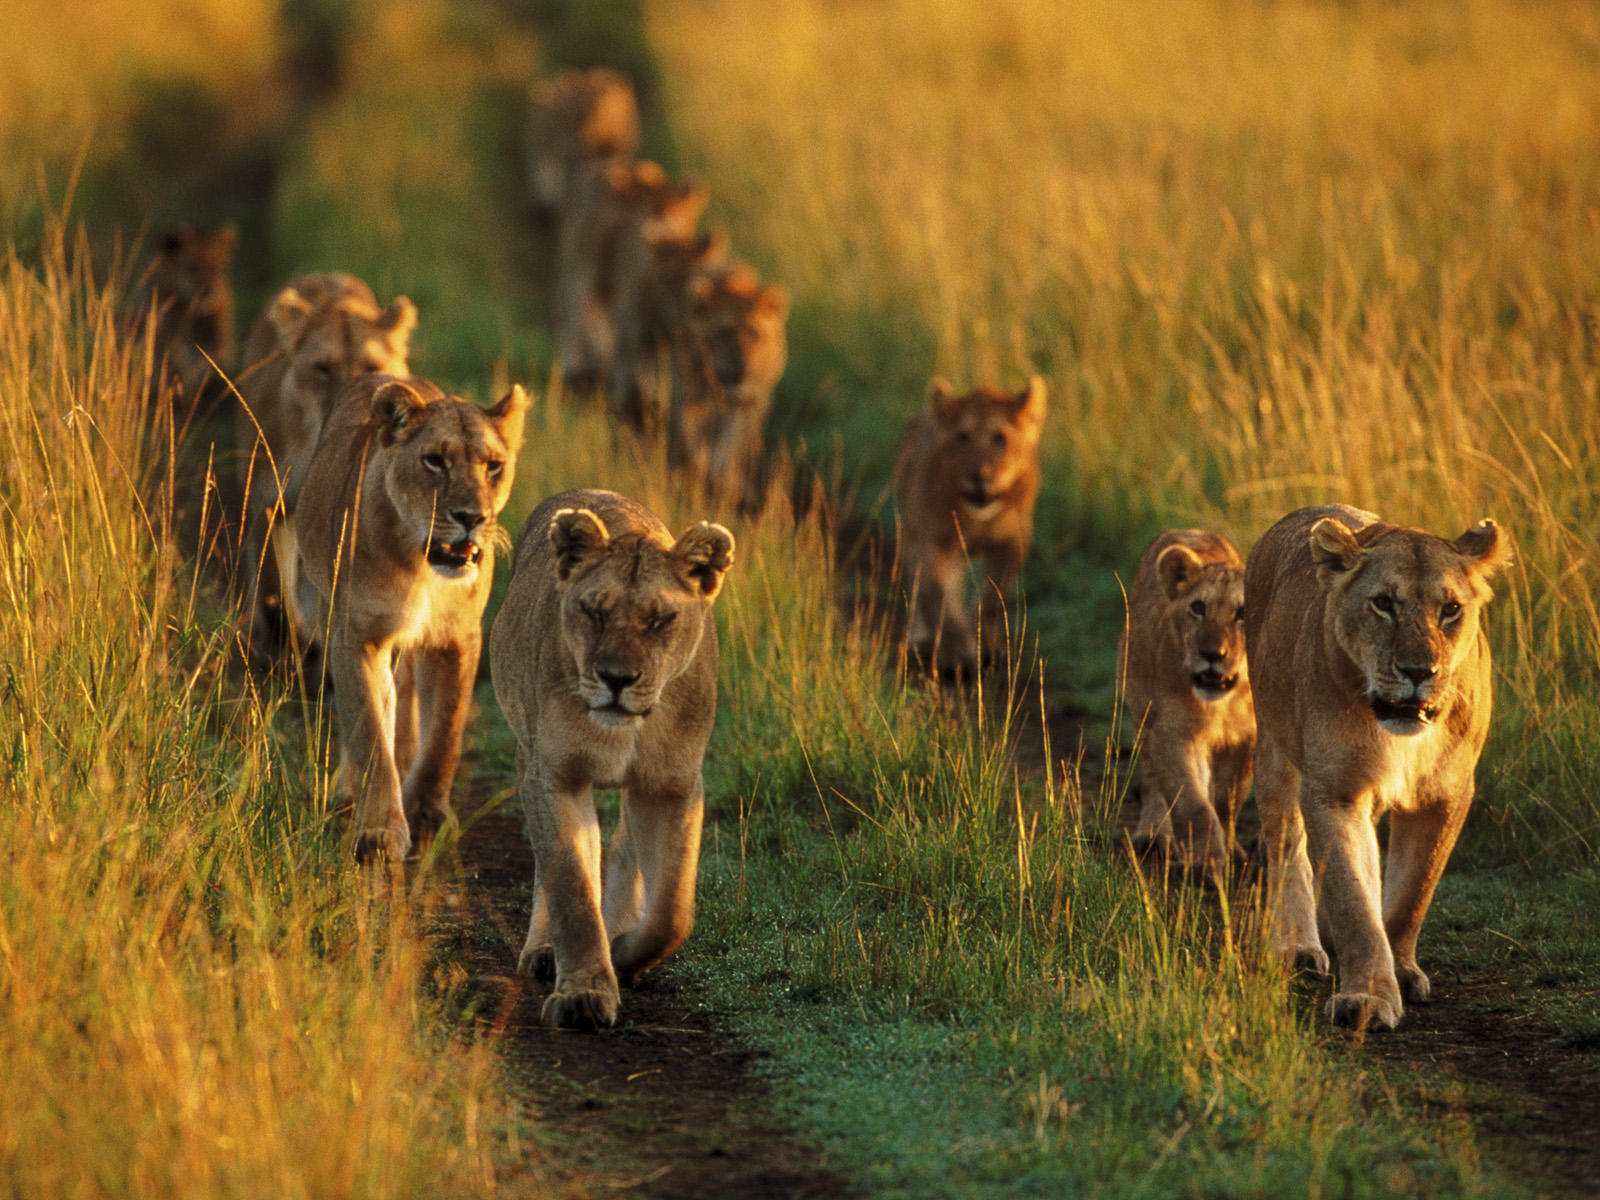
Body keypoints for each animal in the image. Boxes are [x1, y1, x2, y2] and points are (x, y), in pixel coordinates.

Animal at [290, 374, 529, 862]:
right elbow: (370, 734)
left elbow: (445, 732)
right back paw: (351, 794)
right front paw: (381, 830)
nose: (472, 517)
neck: (422, 567)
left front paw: (426, 812)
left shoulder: (457, 638)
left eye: (494, 466)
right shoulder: (356, 637)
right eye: (434, 461)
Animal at [489, 488, 735, 1029]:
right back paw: (545, 953)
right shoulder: (553, 775)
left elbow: (672, 911)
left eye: (661, 619)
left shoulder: (671, 785)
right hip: (525, 750)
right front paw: (584, 993)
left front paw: (623, 954)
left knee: (624, 851)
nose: (616, 678)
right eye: (592, 612)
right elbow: (571, 886)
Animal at [894, 376, 1047, 677]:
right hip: (915, 532)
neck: (976, 518)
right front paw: (956, 652)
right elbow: (937, 595)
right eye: (962, 437)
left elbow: (991, 596)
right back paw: (919, 635)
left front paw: (985, 646)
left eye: (1000, 438)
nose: (981, 476)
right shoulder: (933, 542)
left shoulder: (1012, 541)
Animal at [1117, 529, 1254, 876]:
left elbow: (1227, 797)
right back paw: (1153, 836)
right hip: (1143, 710)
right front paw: (1207, 864)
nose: (1212, 654)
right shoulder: (1171, 732)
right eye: (1198, 607)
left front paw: (1228, 850)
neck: (1224, 704)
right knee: (1152, 778)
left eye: (1242, 614)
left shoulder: (1247, 739)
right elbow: (1193, 805)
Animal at [1245, 504, 1509, 1030]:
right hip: (1275, 753)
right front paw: (1366, 997)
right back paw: (1299, 947)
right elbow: (1354, 901)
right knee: (1288, 848)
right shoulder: (1334, 790)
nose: (1418, 672)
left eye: (1451, 609)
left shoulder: (1446, 794)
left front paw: (1400, 972)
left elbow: (1411, 892)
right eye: (1383, 603)